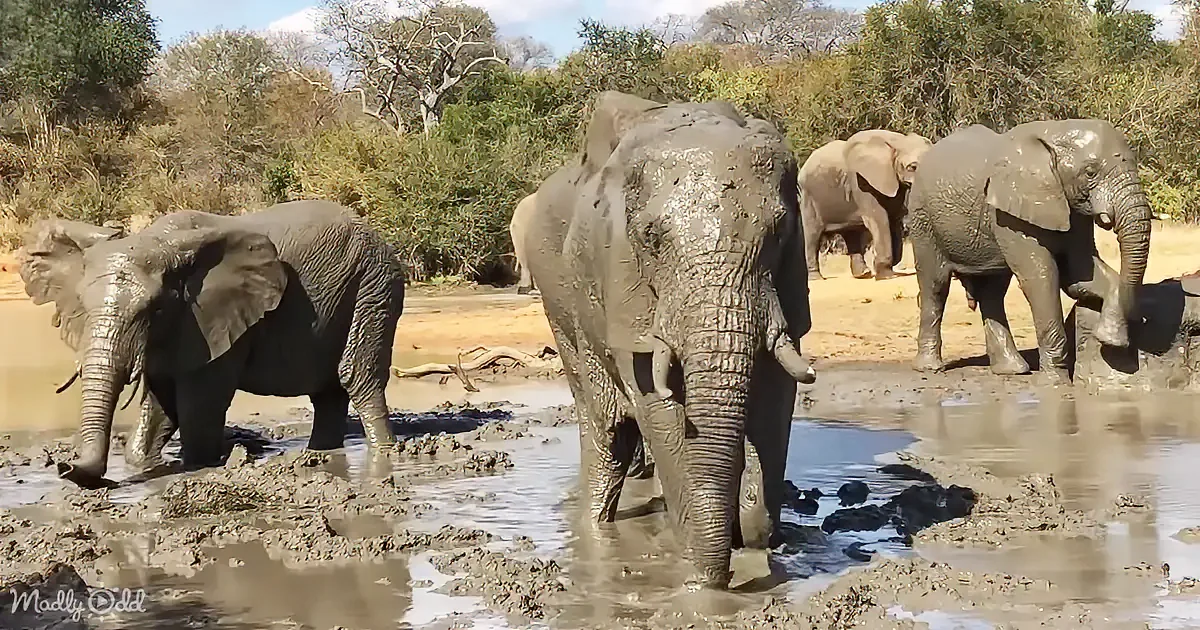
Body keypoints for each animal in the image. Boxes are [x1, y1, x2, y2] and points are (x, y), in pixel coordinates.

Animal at [17, 200, 406, 487]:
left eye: (155, 308)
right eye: (81, 306)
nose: (65, 467)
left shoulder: (213, 320)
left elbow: (198, 406)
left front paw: (202, 463)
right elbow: (161, 403)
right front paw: (141, 462)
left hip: (373, 286)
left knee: (356, 375)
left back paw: (385, 455)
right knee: (327, 392)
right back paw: (318, 457)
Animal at [518, 91, 816, 589]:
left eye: (779, 232)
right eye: (650, 238)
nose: (721, 580)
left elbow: (777, 393)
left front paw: (755, 530)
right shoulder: (622, 281)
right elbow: (656, 403)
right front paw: (697, 571)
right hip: (557, 299)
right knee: (606, 429)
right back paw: (594, 525)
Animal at [798, 129, 933, 280]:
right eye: (912, 167)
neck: (897, 142)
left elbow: (894, 218)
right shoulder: (861, 182)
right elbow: (879, 219)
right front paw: (886, 276)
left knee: (851, 233)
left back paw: (863, 273)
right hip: (808, 196)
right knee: (812, 234)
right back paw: (817, 278)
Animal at [907, 120, 1152, 382]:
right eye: (1090, 172)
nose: (1141, 319)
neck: (1056, 131)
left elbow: (1079, 273)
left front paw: (1111, 339)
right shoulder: (1009, 213)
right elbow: (1042, 278)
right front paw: (1055, 382)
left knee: (992, 292)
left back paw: (1012, 370)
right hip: (922, 217)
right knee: (935, 286)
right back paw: (930, 368)